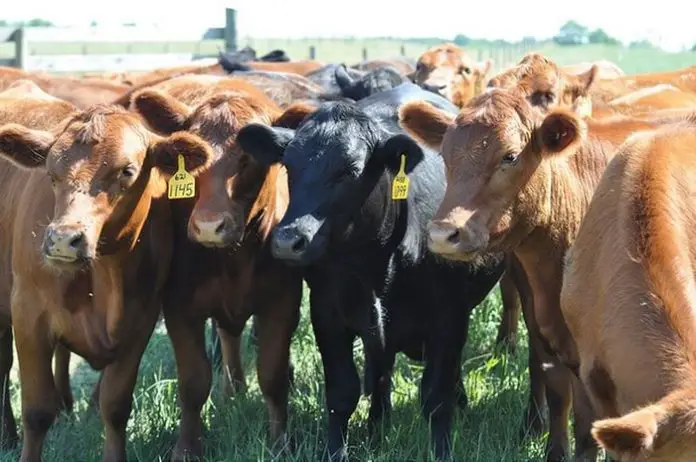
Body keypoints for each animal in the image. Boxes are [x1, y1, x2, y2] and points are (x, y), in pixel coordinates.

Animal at [0, 103, 201, 461]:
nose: (63, 240)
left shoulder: (140, 322)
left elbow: (115, 407)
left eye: (127, 171)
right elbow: (36, 412)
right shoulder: (28, 314)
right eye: (50, 173)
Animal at [131, 74, 307, 460]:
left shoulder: (283, 302)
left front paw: (280, 444)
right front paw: (186, 447)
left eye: (250, 158)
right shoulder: (180, 307)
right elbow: (194, 382)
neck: (234, 260)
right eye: (190, 160)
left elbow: (272, 376)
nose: (209, 226)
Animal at [235, 82, 507, 461]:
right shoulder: (328, 315)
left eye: (350, 170)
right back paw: (377, 429)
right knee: (381, 373)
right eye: (289, 167)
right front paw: (336, 451)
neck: (375, 264)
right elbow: (342, 393)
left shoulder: (449, 317)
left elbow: (436, 397)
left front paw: (441, 451)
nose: (289, 240)